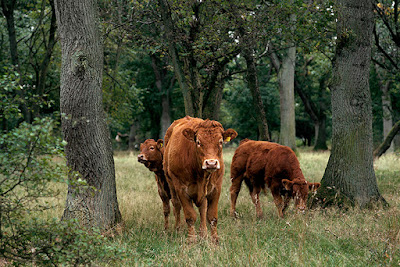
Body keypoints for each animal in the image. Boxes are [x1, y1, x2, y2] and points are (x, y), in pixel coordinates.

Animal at [163, 116, 238, 244]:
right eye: (198, 142)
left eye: (220, 142)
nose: (211, 163)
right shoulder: (181, 189)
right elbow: (190, 216)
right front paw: (191, 240)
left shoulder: (216, 188)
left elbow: (212, 216)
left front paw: (214, 240)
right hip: (171, 183)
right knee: (176, 205)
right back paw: (178, 229)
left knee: (202, 209)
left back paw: (203, 234)